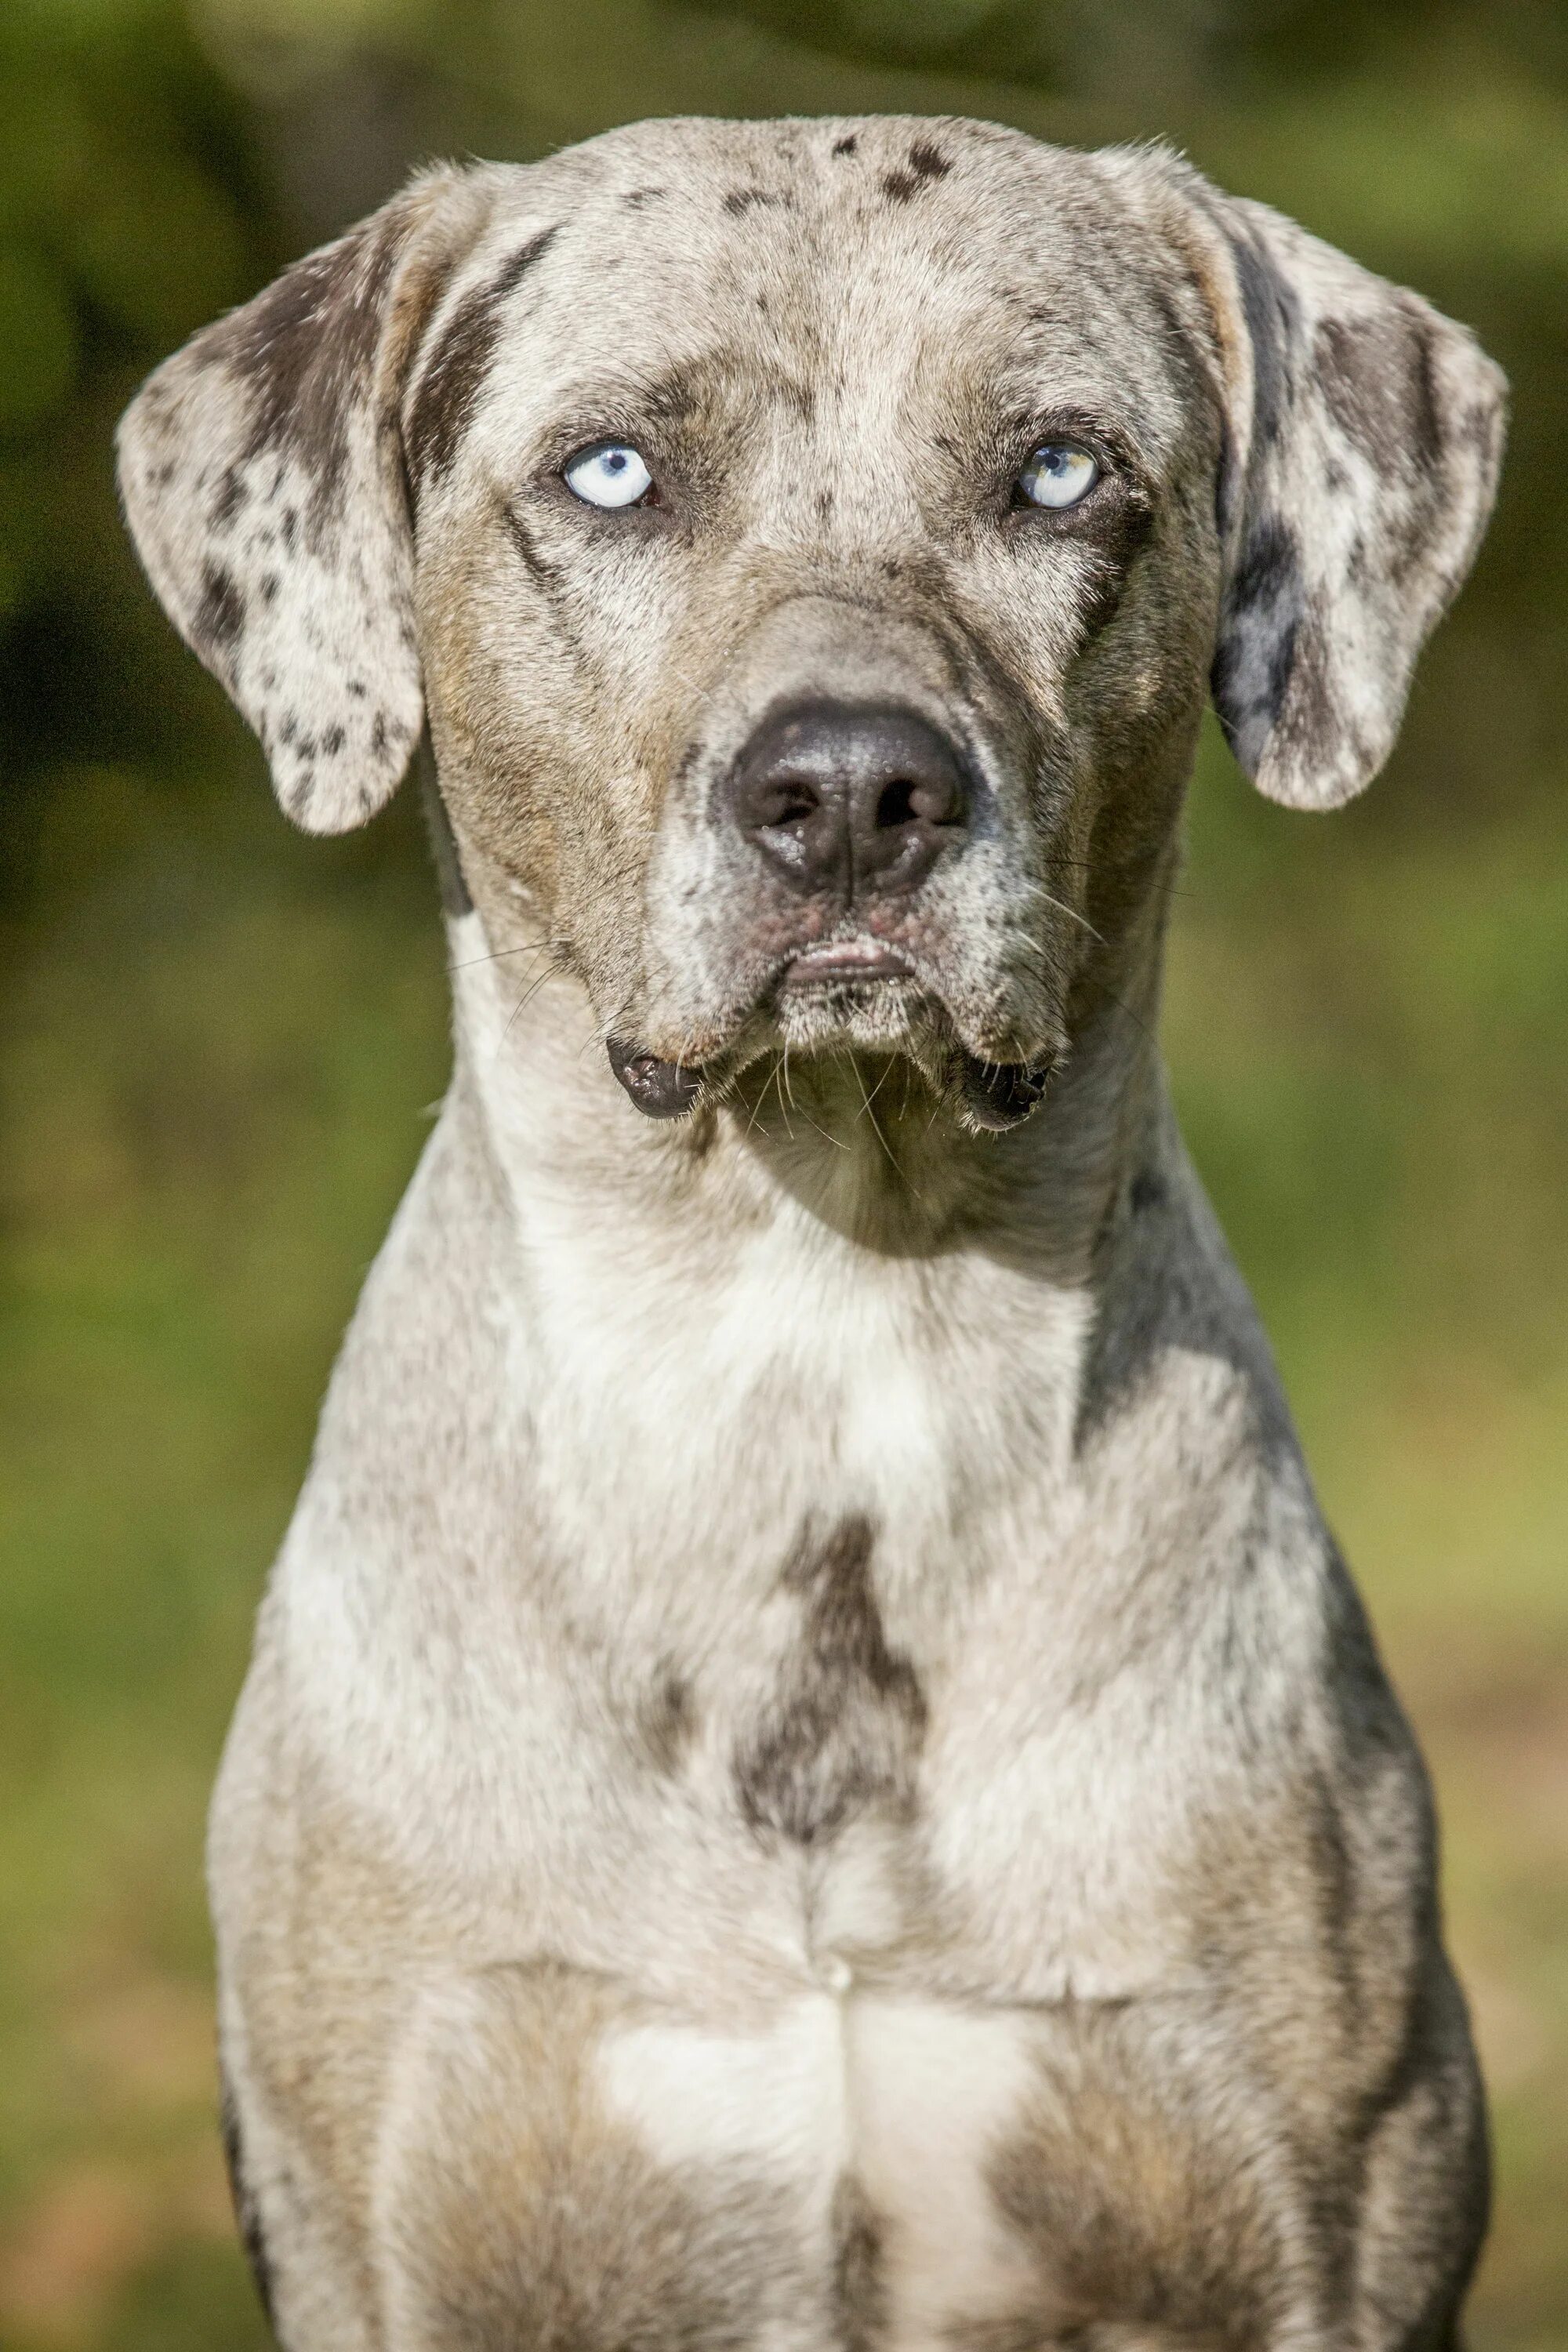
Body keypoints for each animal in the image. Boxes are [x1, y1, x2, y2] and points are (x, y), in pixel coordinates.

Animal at [116, 114, 1504, 2352]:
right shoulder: (408, 2226)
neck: (819, 1341)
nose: (852, 788)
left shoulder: (1309, 2222)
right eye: (611, 471)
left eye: (1057, 469)